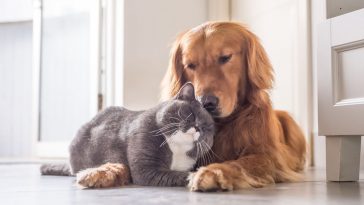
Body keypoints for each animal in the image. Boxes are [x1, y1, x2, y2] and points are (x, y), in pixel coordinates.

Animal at [41, 83, 215, 187]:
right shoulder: (146, 170)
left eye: (207, 128)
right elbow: (177, 175)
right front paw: (197, 177)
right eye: (191, 113)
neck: (176, 149)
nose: (198, 128)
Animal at [162, 21, 308, 191]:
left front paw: (213, 172)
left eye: (225, 57)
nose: (206, 102)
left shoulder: (268, 156)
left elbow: (241, 163)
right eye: (190, 65)